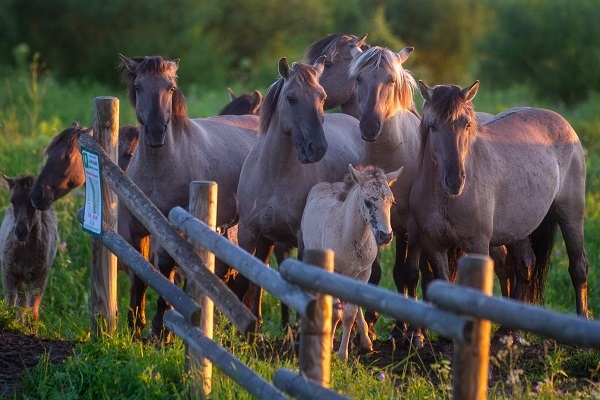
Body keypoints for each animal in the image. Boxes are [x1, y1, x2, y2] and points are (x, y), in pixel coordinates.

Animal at [0, 173, 58, 326]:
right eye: (13, 201)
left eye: (33, 203)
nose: (21, 231)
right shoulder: (9, 272)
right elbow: (10, 306)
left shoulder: (39, 278)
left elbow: (33, 314)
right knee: (21, 300)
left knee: (24, 302)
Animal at [118, 54, 258, 340]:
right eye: (138, 87)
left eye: (170, 88)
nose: (156, 132)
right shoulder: (138, 227)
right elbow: (140, 270)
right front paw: (134, 325)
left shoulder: (174, 227)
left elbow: (165, 267)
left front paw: (160, 327)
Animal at [236, 55, 364, 324]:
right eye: (291, 98)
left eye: (322, 97)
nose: (317, 148)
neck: (274, 176)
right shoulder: (250, 234)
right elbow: (248, 282)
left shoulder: (302, 240)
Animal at [300, 164, 404, 360]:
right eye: (368, 202)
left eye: (392, 202)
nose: (385, 236)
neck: (349, 236)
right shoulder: (334, 273)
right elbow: (336, 312)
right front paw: (330, 346)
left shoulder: (364, 273)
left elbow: (350, 313)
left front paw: (343, 354)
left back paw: (366, 341)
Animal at [410, 81, 588, 324]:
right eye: (433, 126)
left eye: (467, 124)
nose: (455, 181)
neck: (445, 199)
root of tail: (562, 122)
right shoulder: (433, 246)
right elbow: (443, 283)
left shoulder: (477, 245)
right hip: (518, 227)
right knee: (525, 265)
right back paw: (508, 330)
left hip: (570, 215)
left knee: (578, 267)